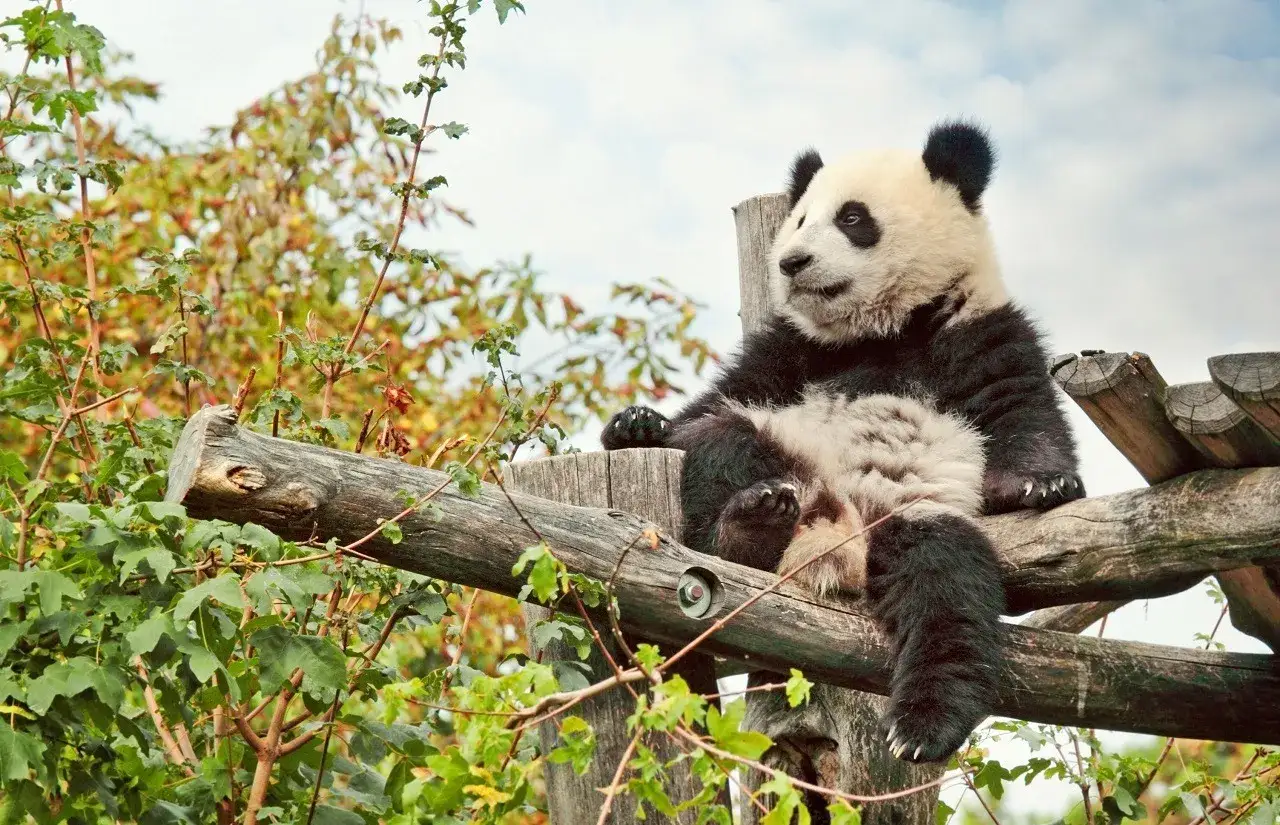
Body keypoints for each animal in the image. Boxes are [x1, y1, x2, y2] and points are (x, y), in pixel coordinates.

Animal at [600, 120, 1083, 769]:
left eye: (853, 218)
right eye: (801, 219)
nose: (791, 261)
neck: (882, 329)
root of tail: (837, 534)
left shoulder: (978, 325)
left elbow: (1019, 406)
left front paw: (1044, 482)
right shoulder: (790, 349)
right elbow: (723, 396)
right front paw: (636, 424)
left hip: (912, 518)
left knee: (947, 588)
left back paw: (924, 725)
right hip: (779, 452)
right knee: (724, 443)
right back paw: (751, 523)